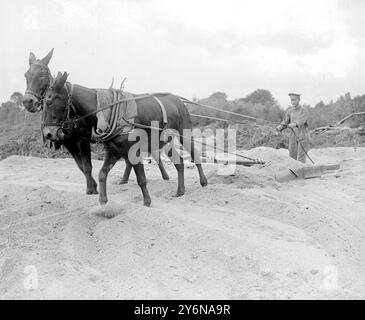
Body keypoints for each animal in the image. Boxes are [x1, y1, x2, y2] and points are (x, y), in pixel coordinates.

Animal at [22, 48, 170, 194]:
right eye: (26, 75)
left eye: (42, 75)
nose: (28, 102)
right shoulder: (69, 142)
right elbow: (81, 165)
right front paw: (92, 186)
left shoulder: (82, 139)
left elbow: (87, 166)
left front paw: (91, 189)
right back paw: (124, 180)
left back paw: (164, 177)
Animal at [42, 72, 206, 208]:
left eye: (49, 102)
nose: (48, 134)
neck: (106, 111)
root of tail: (178, 100)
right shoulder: (113, 151)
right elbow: (102, 174)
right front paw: (103, 200)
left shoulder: (133, 151)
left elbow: (141, 179)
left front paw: (147, 202)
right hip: (165, 140)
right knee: (179, 163)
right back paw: (180, 191)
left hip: (185, 134)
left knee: (195, 154)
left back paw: (204, 182)